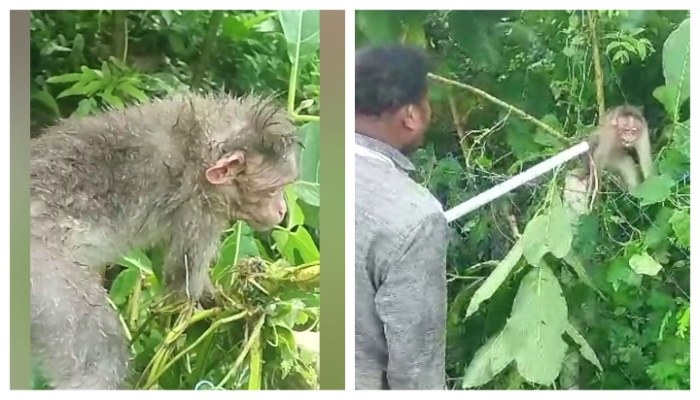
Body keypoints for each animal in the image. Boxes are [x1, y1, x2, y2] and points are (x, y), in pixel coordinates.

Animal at [30, 93, 300, 388]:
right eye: (272, 190)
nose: (282, 210)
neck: (200, 147)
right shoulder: (200, 211)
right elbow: (183, 286)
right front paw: (229, 301)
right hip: (45, 275)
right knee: (99, 362)